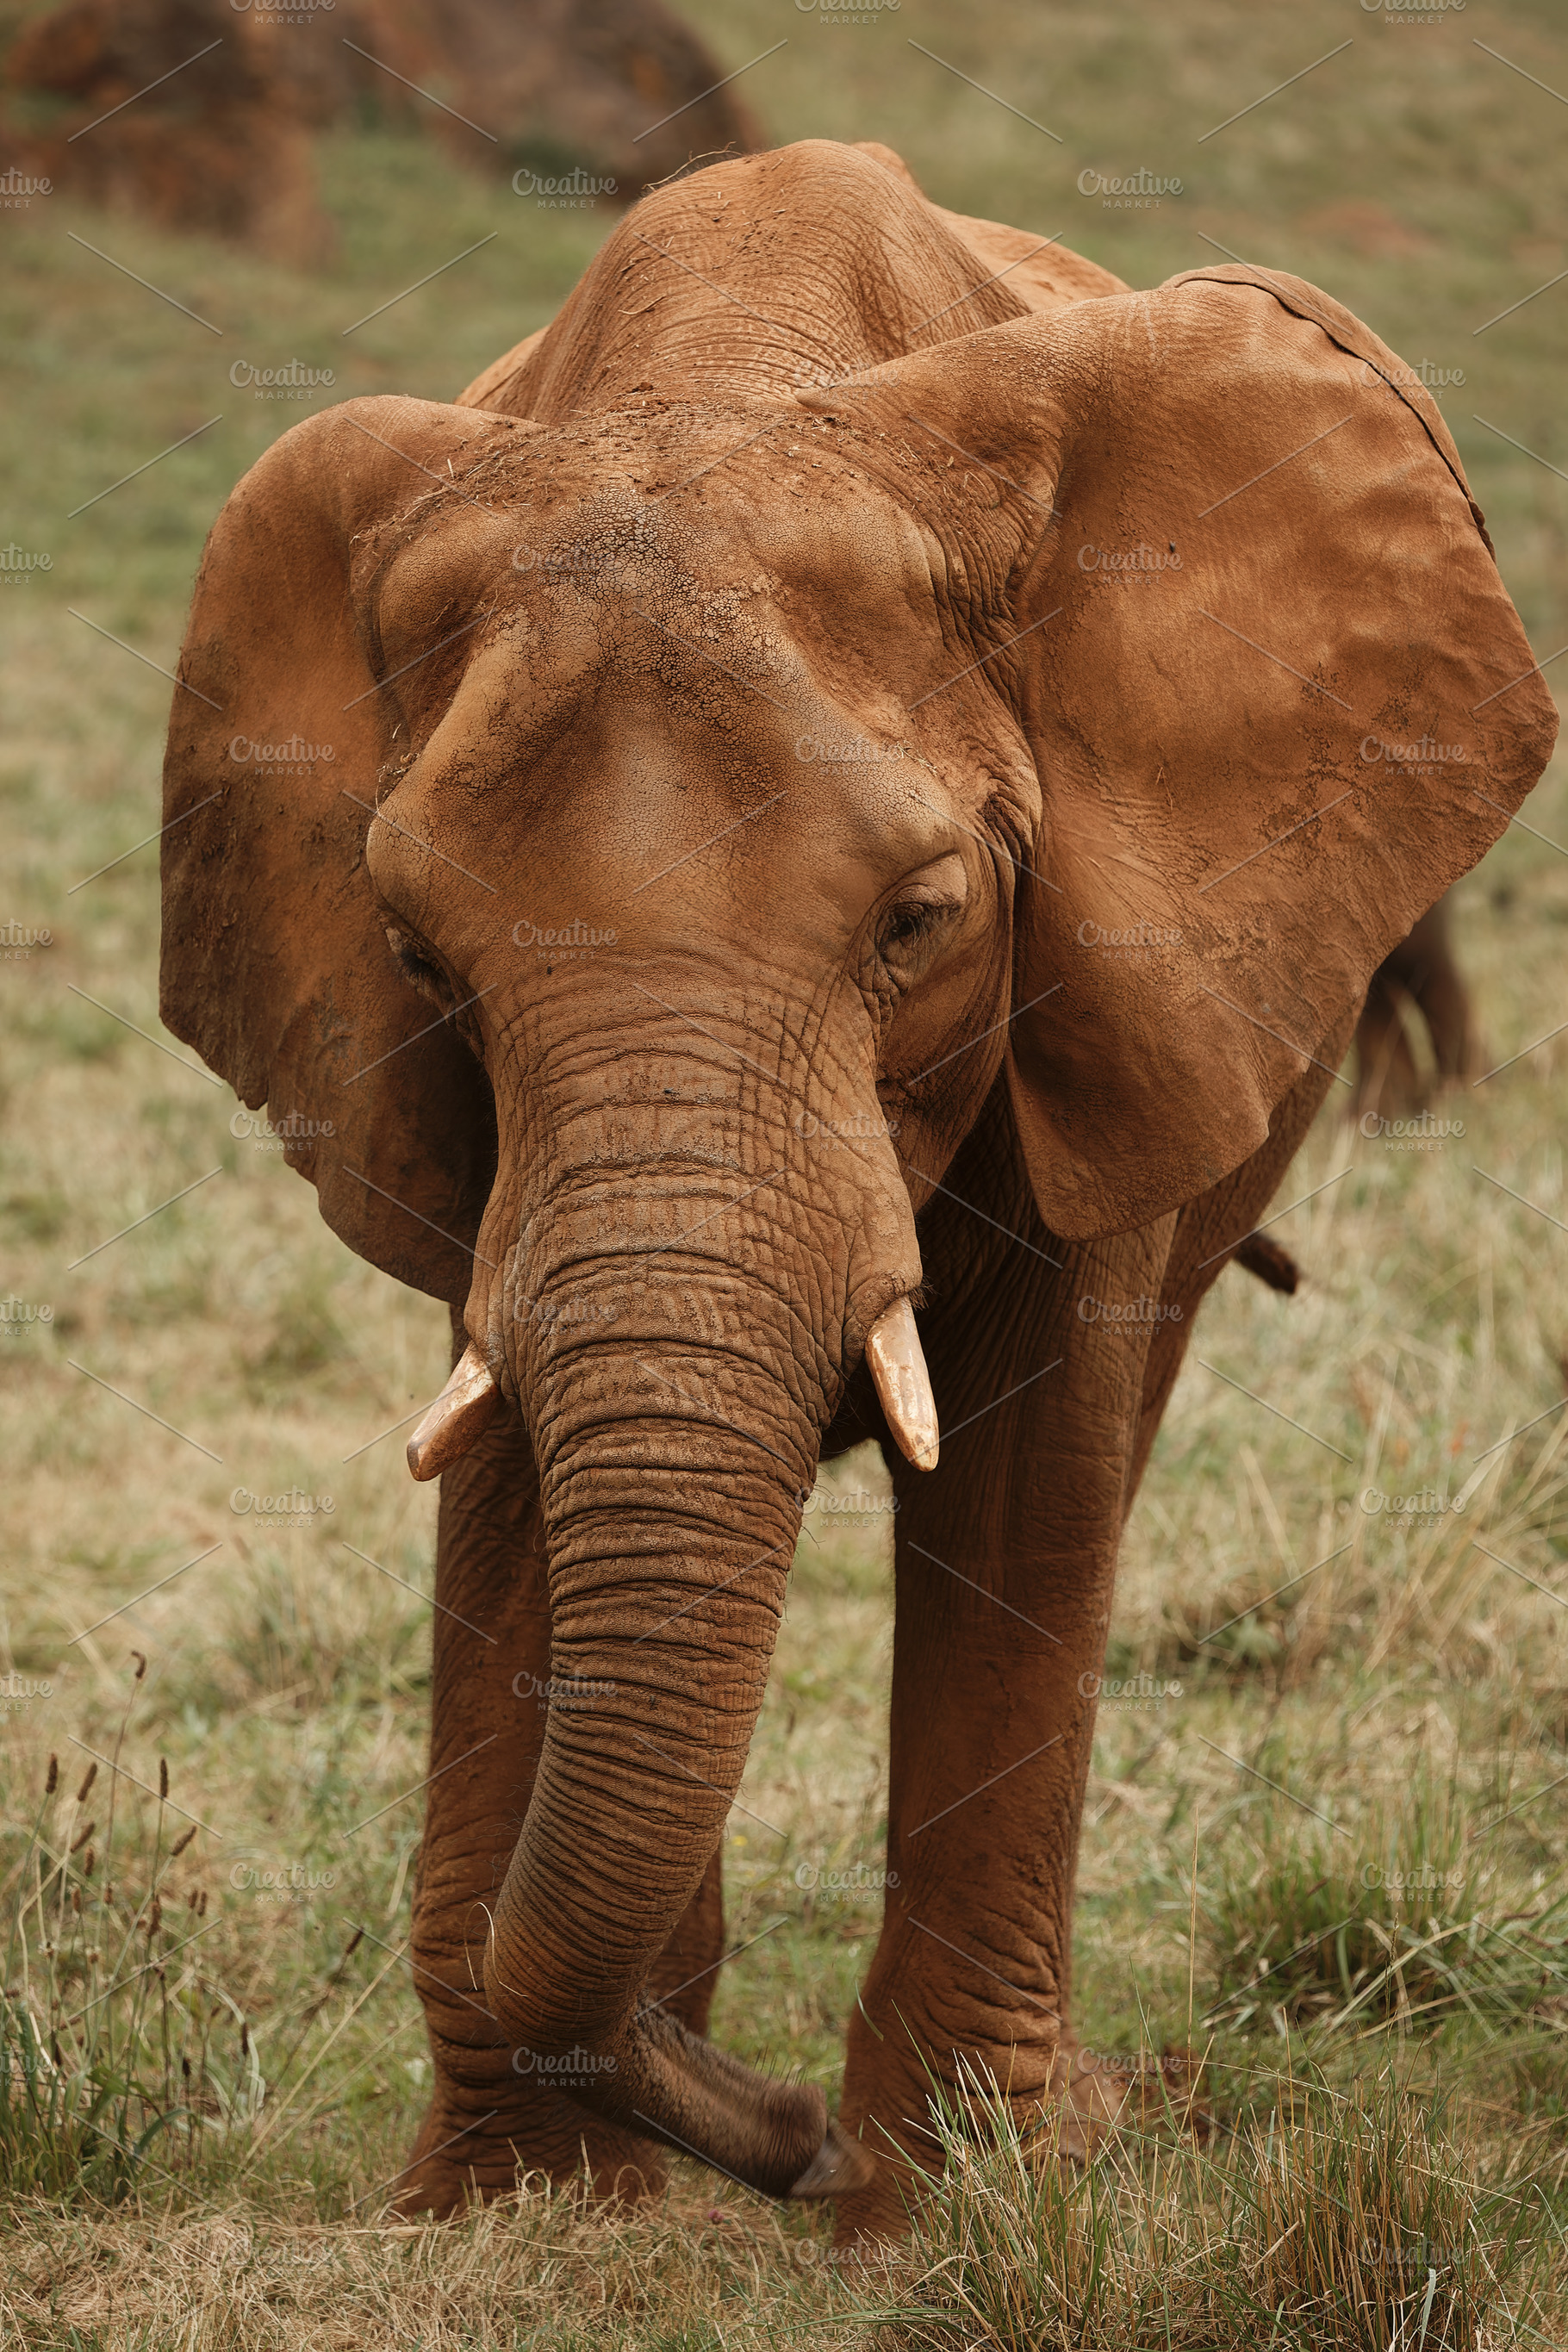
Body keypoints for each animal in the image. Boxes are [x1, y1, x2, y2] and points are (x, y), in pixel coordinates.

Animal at [159, 138, 1555, 2239]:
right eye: (414, 955)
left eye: (921, 922)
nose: (779, 2129)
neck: (731, 378)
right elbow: (509, 1472)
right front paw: (520, 2211)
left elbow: (1027, 1478)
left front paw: (953, 2196)